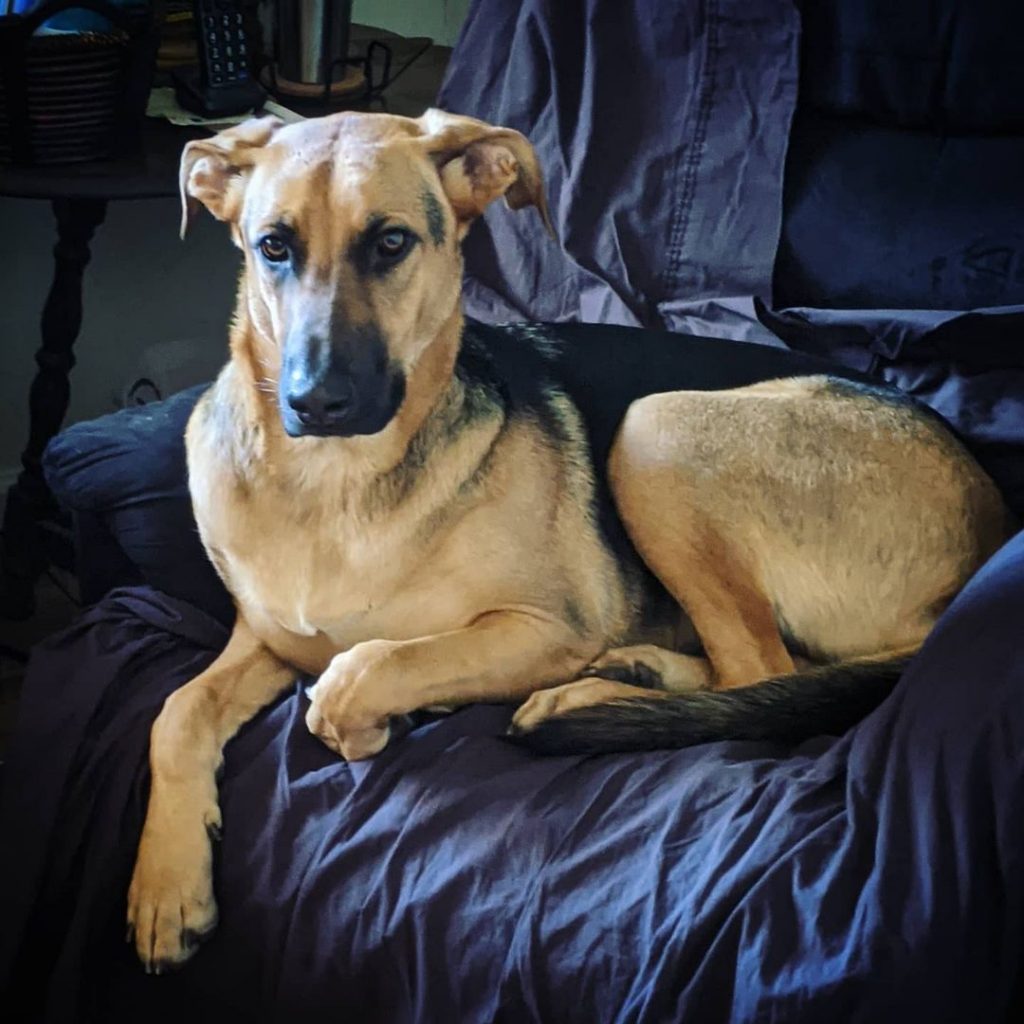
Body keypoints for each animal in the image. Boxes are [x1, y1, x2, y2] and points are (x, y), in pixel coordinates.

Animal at [125, 108, 1007, 970]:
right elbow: (174, 711)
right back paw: (636, 668)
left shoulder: (549, 626)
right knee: (763, 672)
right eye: (272, 246)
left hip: (657, 428)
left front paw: (379, 714)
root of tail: (990, 513)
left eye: (391, 243)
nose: (315, 403)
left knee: (762, 672)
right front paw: (166, 884)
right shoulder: (265, 640)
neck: (334, 487)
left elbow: (362, 671)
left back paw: (584, 695)